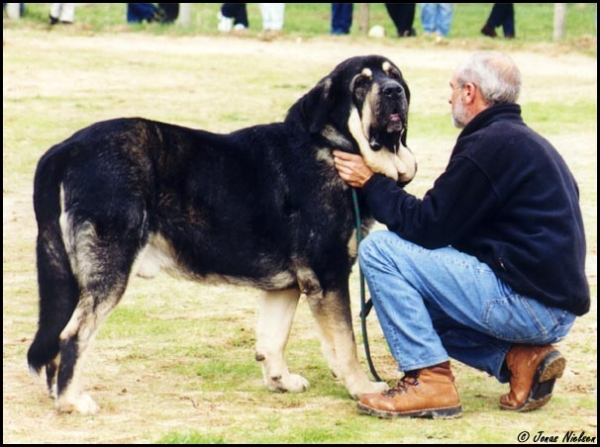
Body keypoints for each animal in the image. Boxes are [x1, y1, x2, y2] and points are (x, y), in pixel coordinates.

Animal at [25, 54, 414, 414]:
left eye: (393, 74)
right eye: (361, 84)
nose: (394, 91)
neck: (333, 146)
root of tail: (66, 149)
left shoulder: (288, 285)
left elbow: (273, 338)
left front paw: (281, 381)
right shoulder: (328, 275)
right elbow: (346, 343)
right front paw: (362, 387)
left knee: (58, 336)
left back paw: (58, 394)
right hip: (110, 270)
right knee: (73, 334)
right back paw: (72, 401)